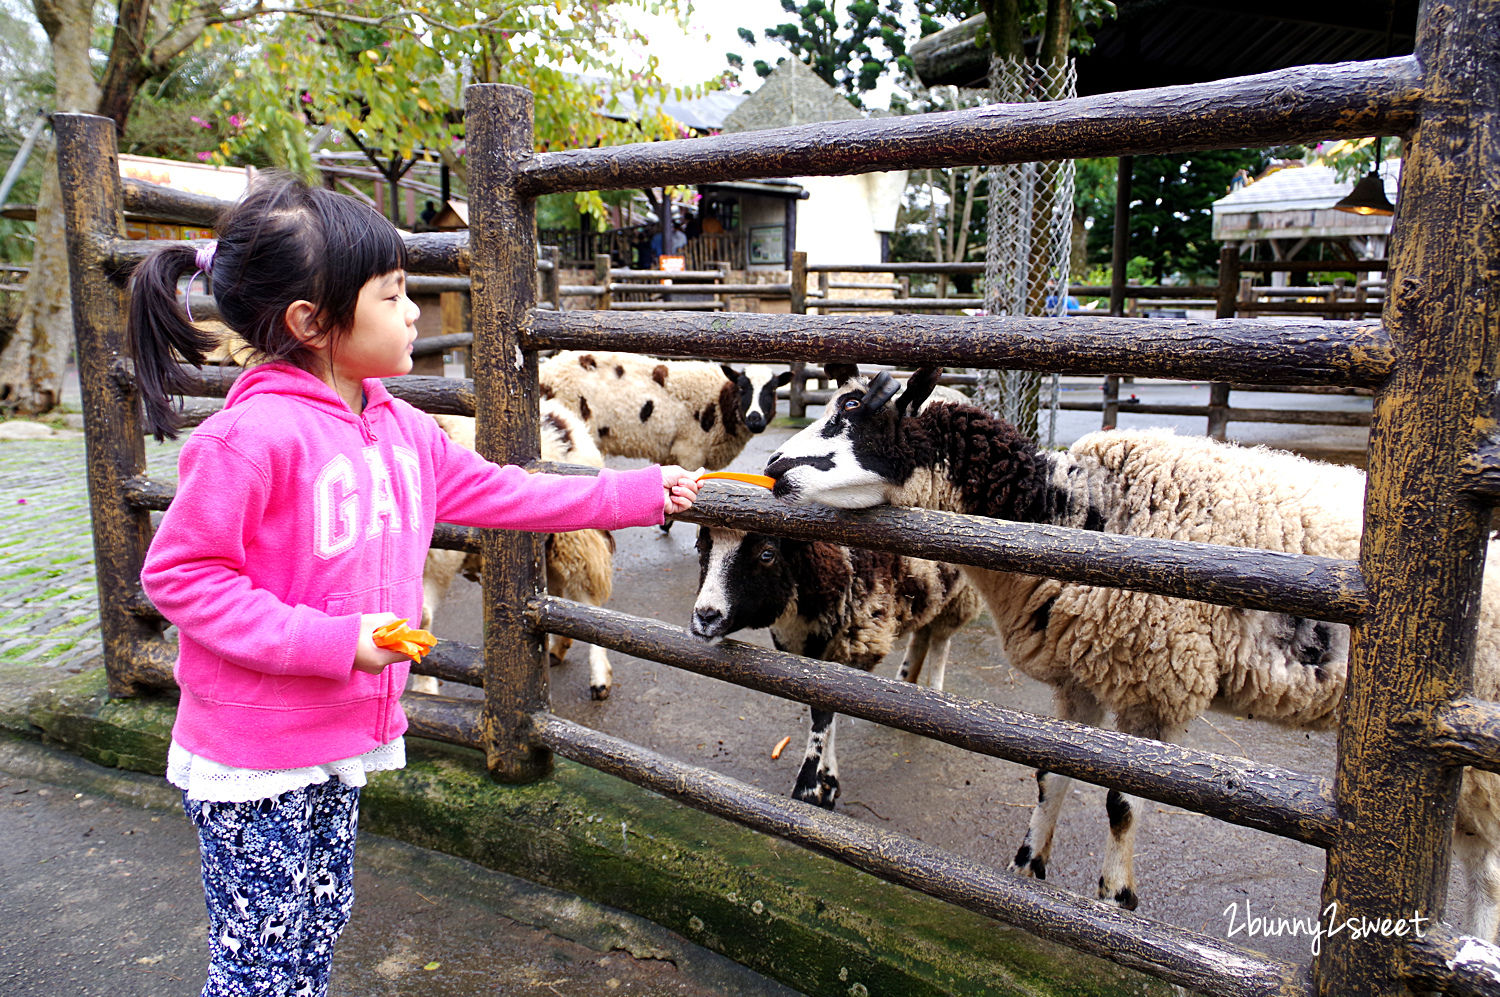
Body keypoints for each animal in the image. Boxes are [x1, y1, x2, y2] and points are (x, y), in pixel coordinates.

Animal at [417, 401, 615, 695]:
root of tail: (561, 415)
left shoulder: (437, 561)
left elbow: (422, 618)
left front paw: (424, 688)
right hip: (550, 545)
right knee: (554, 593)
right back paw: (556, 649)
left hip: (575, 538)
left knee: (587, 602)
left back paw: (599, 677)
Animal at [543, 349, 798, 470]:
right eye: (743, 388)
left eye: (772, 390)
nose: (755, 419)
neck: (720, 401)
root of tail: (547, 371)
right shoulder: (690, 450)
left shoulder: (672, 453)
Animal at [762, 367, 1500, 941]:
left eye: (851, 412)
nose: (771, 470)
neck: (1067, 512)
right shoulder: (1081, 681)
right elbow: (1050, 775)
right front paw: (1026, 867)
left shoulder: (1158, 686)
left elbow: (1122, 801)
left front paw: (1116, 899)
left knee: (1488, 868)